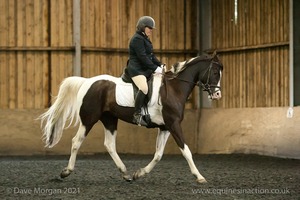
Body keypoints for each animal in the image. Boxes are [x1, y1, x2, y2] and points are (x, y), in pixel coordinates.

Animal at [38, 52, 223, 183]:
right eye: (214, 71)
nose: (217, 95)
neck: (174, 88)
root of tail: (87, 82)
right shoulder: (174, 124)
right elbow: (186, 151)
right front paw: (199, 176)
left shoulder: (165, 127)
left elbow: (158, 154)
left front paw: (139, 174)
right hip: (89, 119)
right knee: (76, 141)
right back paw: (66, 172)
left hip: (110, 119)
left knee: (109, 145)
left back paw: (125, 173)